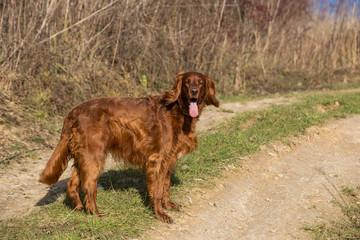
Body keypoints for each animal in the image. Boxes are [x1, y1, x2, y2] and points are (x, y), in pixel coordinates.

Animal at [39, 71, 219, 223]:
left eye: (201, 83)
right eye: (187, 82)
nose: (194, 91)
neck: (175, 110)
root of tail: (74, 111)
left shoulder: (168, 158)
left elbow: (166, 186)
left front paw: (168, 205)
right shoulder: (157, 159)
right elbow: (158, 190)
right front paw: (160, 214)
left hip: (84, 155)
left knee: (73, 183)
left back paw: (78, 208)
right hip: (94, 156)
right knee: (89, 187)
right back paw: (95, 213)